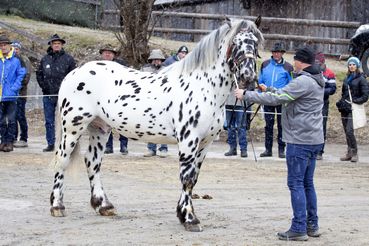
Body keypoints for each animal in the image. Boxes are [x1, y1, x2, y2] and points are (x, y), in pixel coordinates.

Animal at [49, 18, 262, 232]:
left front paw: (183, 214)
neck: (203, 87)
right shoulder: (189, 141)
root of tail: (73, 73)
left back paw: (104, 206)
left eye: (255, 43)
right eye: (235, 43)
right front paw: (190, 219)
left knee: (92, 162)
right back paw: (57, 206)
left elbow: (194, 178)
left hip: (99, 128)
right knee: (62, 160)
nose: (248, 76)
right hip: (73, 127)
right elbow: (186, 178)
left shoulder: (205, 144)